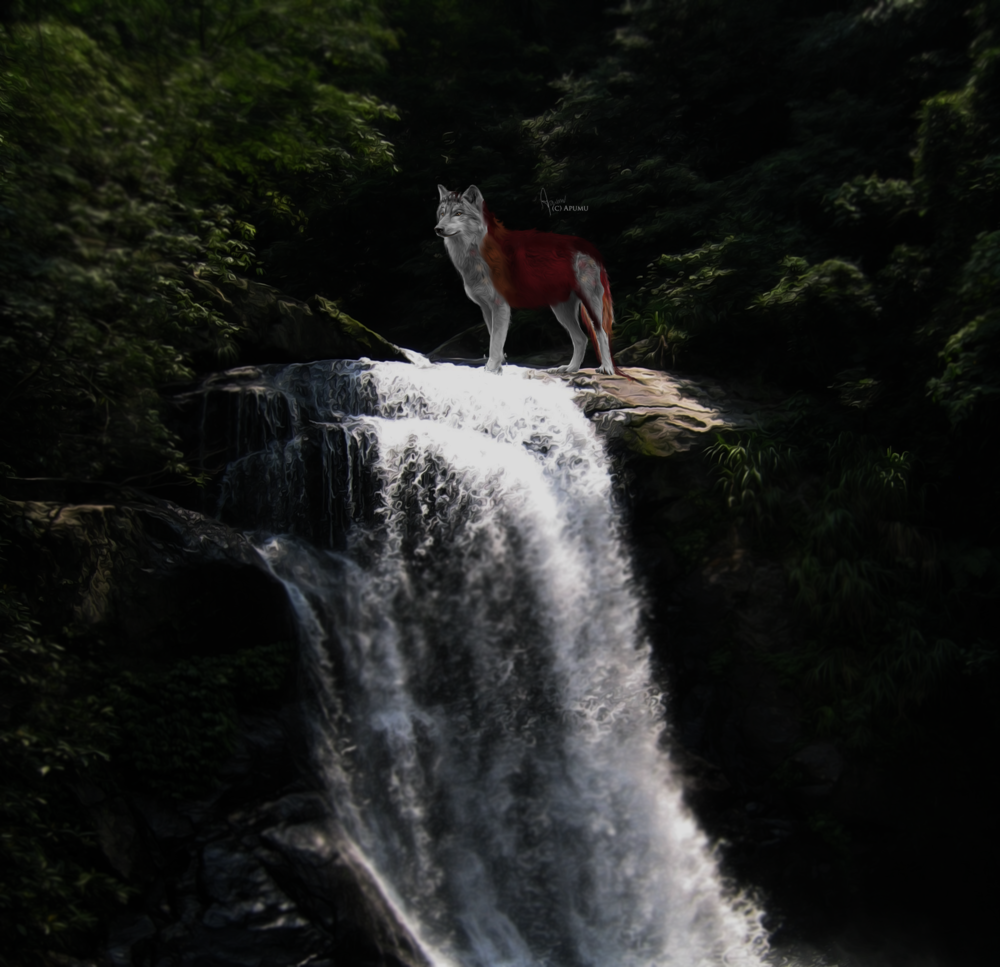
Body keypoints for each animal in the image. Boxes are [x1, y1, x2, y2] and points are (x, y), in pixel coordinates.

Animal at [434, 183, 620, 376]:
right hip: (561, 311)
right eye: (442, 213)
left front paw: (490, 370)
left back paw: (606, 368)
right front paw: (497, 370)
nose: (437, 229)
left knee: (601, 333)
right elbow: (495, 343)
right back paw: (570, 369)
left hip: (590, 306)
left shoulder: (500, 306)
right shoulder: (486, 308)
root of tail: (590, 247)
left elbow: (495, 345)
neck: (474, 255)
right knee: (581, 338)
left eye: (458, 213)